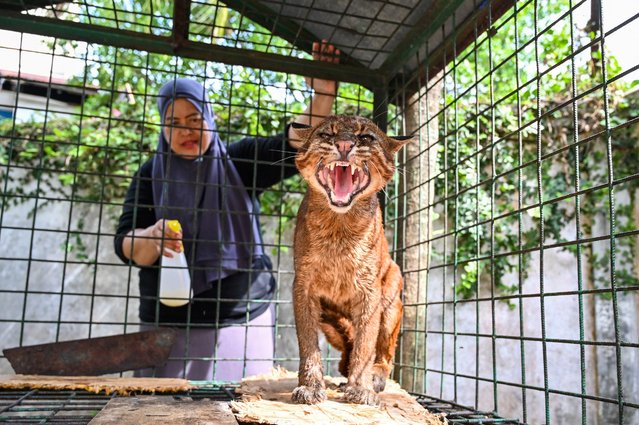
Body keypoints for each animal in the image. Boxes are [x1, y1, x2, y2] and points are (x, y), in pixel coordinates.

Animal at [292, 115, 412, 404]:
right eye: (326, 134)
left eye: (366, 137)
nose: (345, 144)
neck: (340, 226)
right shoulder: (303, 287)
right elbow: (308, 343)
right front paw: (310, 386)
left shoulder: (371, 291)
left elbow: (366, 343)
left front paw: (361, 388)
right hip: (330, 318)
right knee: (346, 345)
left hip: (391, 297)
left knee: (383, 352)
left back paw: (375, 376)